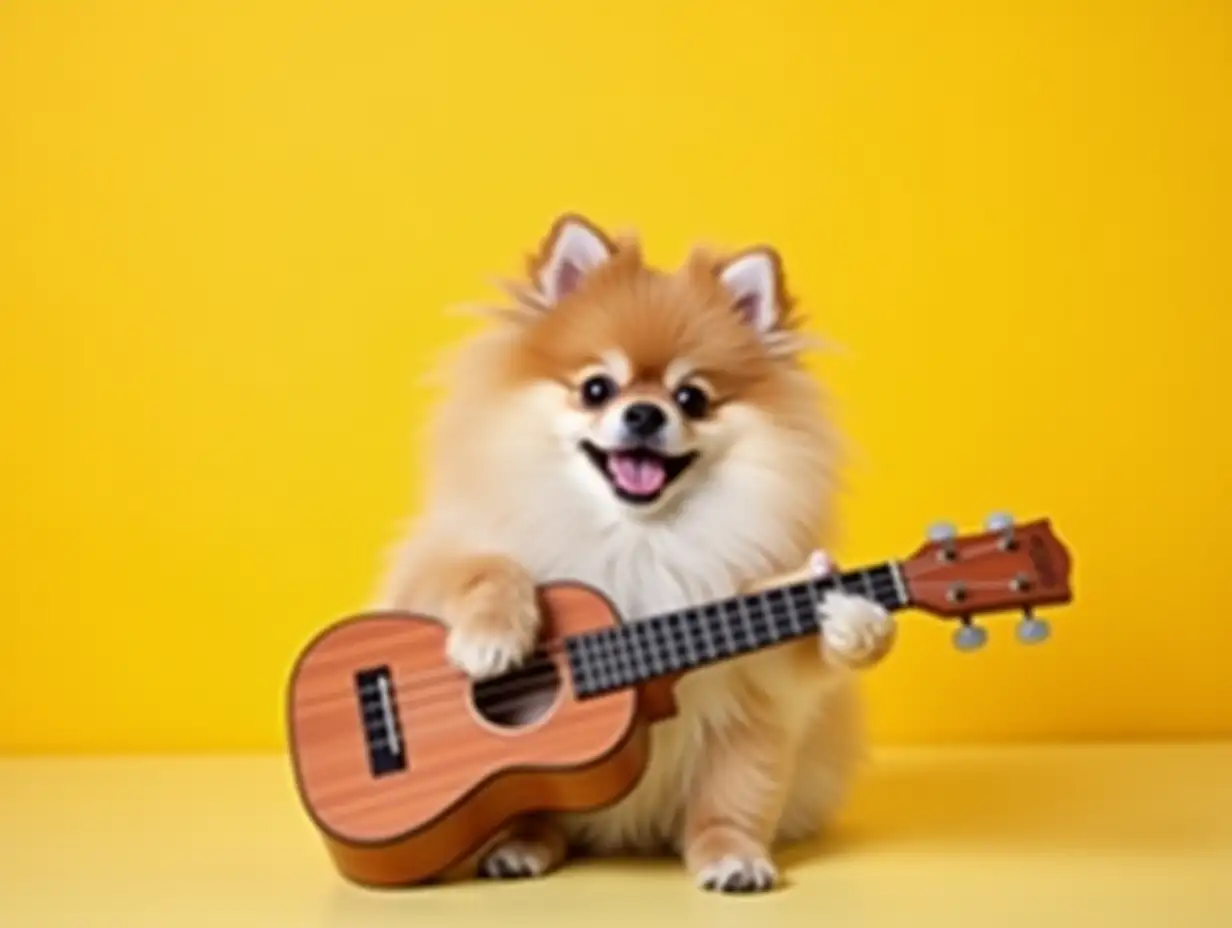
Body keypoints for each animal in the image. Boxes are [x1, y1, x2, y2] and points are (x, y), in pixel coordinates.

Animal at [374, 211, 896, 892]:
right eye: (597, 388)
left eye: (691, 397)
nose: (644, 413)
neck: (637, 537)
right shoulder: (432, 560)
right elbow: (486, 566)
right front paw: (491, 640)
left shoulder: (758, 685)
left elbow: (748, 768)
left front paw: (856, 620)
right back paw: (520, 847)